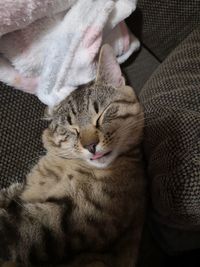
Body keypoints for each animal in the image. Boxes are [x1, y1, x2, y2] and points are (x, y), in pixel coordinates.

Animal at [0, 45, 145, 267]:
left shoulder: (64, 221)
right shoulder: (22, 189)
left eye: (101, 114)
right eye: (71, 129)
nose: (91, 145)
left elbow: (13, 229)